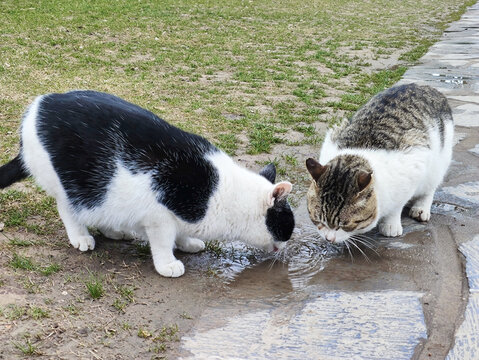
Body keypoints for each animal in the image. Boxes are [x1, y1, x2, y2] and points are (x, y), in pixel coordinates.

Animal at [0, 91, 294, 278]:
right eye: (287, 226)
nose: (287, 247)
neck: (220, 193)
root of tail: (37, 106)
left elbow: (181, 233)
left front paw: (187, 242)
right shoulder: (159, 216)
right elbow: (163, 241)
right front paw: (168, 264)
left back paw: (113, 230)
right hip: (70, 184)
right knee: (68, 208)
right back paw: (81, 237)